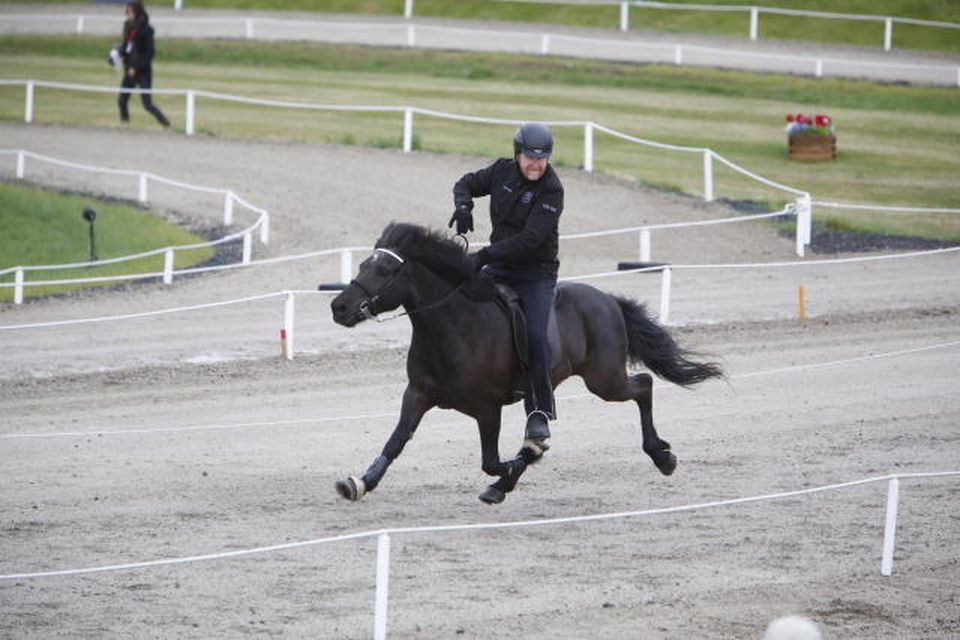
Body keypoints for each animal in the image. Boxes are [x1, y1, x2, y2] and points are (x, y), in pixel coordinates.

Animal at [330, 224, 720, 504]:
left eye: (384, 269)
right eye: (363, 265)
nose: (339, 307)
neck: (456, 326)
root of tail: (607, 299)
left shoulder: (487, 408)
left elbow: (494, 460)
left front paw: (521, 462)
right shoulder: (417, 395)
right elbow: (396, 442)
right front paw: (361, 482)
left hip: (604, 380)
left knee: (643, 386)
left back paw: (662, 457)